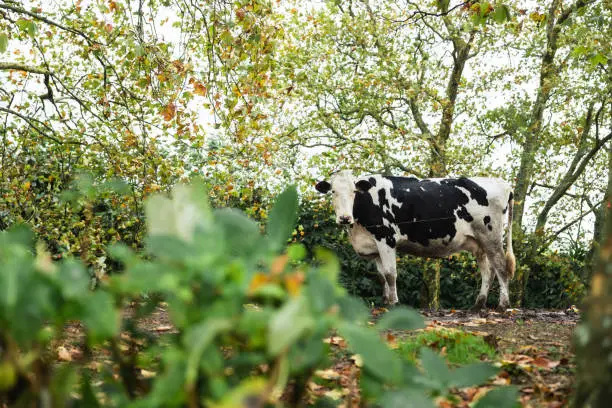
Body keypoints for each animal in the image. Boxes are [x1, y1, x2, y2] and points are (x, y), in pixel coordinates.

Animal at [316, 171, 516, 310]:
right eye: (332, 192)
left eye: (354, 191)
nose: (344, 218)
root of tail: (503, 183)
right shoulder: (374, 246)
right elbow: (381, 277)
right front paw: (385, 302)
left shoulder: (386, 238)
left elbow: (390, 274)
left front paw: (394, 303)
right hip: (478, 243)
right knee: (488, 271)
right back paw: (478, 305)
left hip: (491, 237)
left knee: (501, 267)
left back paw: (503, 305)